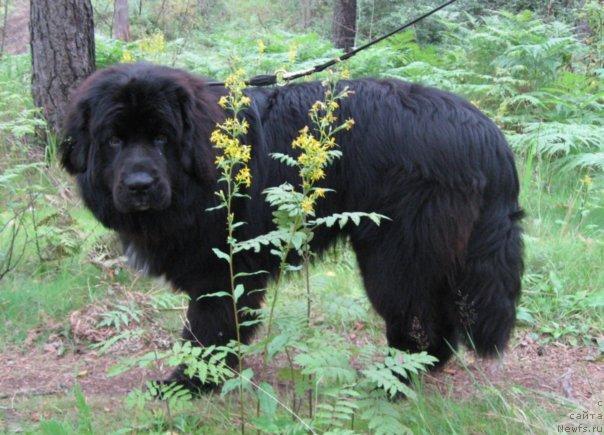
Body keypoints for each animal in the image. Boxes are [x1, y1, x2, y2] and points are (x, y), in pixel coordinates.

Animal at [60, 62, 524, 392]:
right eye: (113, 140)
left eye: (161, 138)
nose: (139, 185)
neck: (205, 166)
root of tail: (488, 134)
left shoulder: (222, 268)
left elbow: (208, 327)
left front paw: (191, 382)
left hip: (396, 256)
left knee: (416, 318)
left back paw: (393, 379)